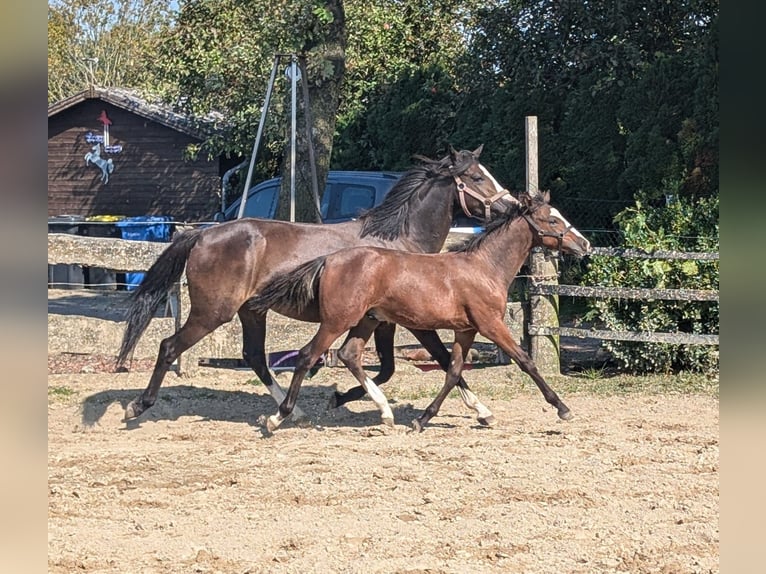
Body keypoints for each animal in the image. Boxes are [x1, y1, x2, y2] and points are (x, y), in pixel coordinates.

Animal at [117, 146, 520, 420]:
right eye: (477, 177)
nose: (513, 206)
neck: (400, 242)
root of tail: (202, 234)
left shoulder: (378, 321)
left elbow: (387, 367)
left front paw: (341, 397)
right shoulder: (407, 321)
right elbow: (435, 359)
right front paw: (480, 409)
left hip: (251, 312)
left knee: (254, 357)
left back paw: (291, 410)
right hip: (212, 312)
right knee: (169, 347)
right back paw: (138, 406)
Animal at [252, 191, 592, 434]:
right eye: (552, 221)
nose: (585, 244)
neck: (484, 268)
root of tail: (329, 259)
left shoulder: (465, 330)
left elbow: (453, 371)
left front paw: (424, 419)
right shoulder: (490, 324)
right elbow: (525, 361)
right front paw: (562, 408)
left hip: (365, 321)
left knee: (349, 355)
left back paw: (380, 412)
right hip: (338, 320)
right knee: (307, 356)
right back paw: (278, 418)